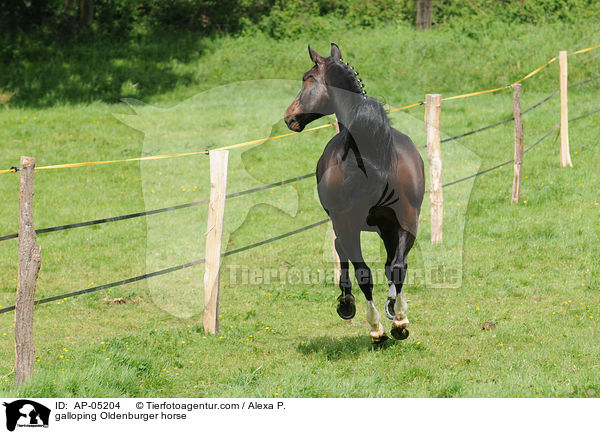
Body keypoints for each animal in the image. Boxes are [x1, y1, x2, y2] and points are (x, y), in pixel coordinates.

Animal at [284, 43, 424, 342]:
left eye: (306, 78)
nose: (290, 116)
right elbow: (390, 265)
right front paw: (394, 310)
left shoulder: (343, 222)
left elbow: (348, 259)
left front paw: (350, 304)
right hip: (404, 221)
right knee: (397, 267)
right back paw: (399, 320)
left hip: (353, 224)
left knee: (363, 269)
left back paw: (376, 326)